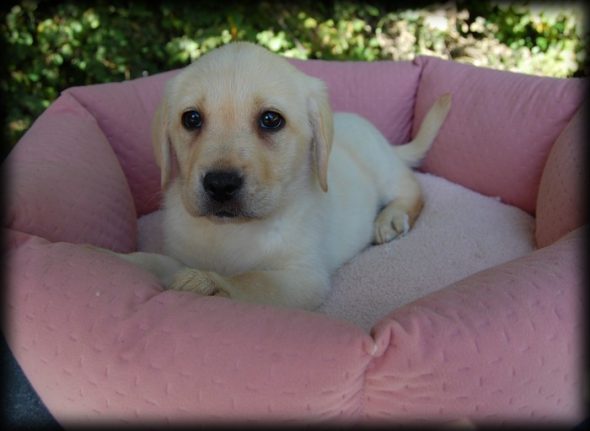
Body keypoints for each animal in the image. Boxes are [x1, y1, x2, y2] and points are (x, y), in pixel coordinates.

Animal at [111, 43, 454, 310]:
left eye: (271, 120)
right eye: (191, 119)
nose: (220, 184)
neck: (231, 231)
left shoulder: (303, 278)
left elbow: (252, 280)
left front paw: (209, 284)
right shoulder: (180, 254)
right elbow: (155, 261)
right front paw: (114, 260)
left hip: (383, 168)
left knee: (411, 188)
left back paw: (391, 218)